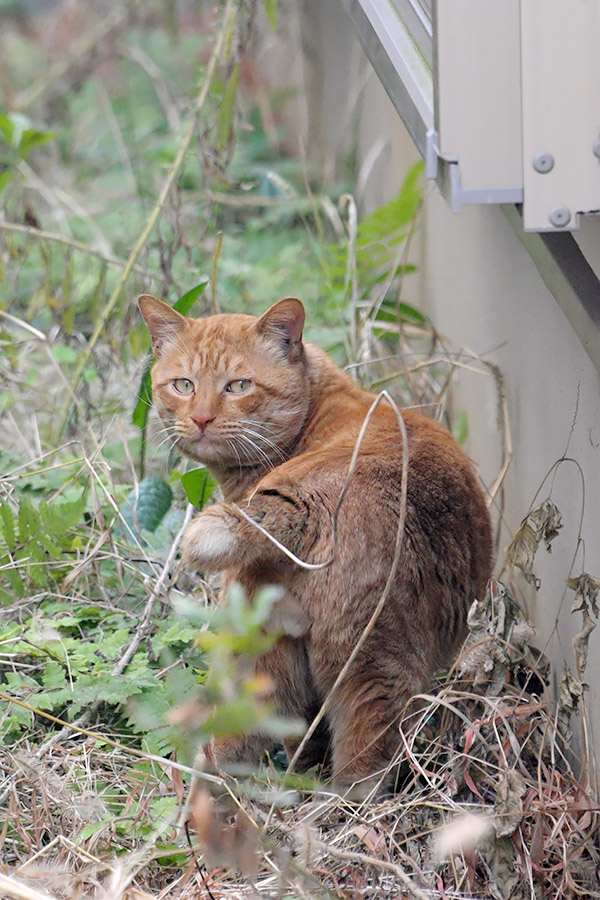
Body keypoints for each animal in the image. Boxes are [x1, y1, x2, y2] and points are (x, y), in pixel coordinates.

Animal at [141, 294, 492, 796]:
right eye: (184, 385)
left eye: (238, 386)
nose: (202, 418)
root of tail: (308, 499)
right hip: (373, 666)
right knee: (359, 764)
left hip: (271, 659)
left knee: (238, 747)